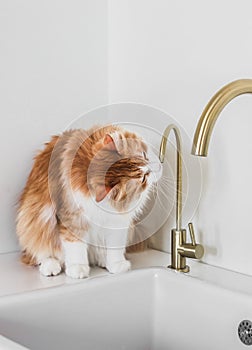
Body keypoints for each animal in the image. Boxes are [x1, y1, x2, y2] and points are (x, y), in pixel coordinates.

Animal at [16, 124, 161, 278]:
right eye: (144, 178)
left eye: (144, 155)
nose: (156, 168)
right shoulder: (72, 217)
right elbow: (76, 247)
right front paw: (77, 268)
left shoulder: (117, 221)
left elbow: (115, 246)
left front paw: (116, 265)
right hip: (33, 219)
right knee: (40, 252)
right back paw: (51, 266)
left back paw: (102, 260)